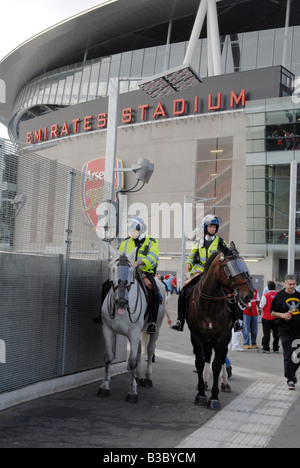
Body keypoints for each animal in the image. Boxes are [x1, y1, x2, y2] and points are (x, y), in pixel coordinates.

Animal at [97, 247, 165, 404]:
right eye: (112, 269)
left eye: (130, 271)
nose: (122, 301)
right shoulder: (107, 330)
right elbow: (108, 357)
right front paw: (104, 387)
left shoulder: (134, 333)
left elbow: (132, 361)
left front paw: (132, 393)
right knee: (139, 350)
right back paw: (139, 376)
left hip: (156, 329)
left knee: (150, 350)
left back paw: (147, 378)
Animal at [188, 241, 253, 410]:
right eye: (230, 267)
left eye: (242, 264)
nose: (249, 294)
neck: (209, 304)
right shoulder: (197, 336)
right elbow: (200, 361)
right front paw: (201, 394)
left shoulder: (222, 337)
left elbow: (217, 364)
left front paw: (214, 398)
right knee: (207, 356)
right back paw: (204, 380)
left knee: (222, 358)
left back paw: (224, 382)